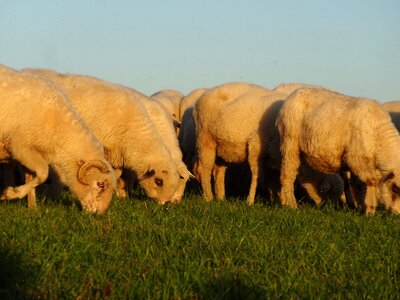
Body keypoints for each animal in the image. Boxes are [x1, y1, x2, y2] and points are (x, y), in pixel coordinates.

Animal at [0, 65, 115, 213]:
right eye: (100, 184)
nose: (99, 213)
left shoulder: (29, 152)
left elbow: (32, 178)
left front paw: (32, 207)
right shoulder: (20, 147)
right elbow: (43, 174)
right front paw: (9, 194)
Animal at [276, 86, 400, 216]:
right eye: (395, 188)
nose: (396, 213)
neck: (379, 138)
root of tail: (294, 93)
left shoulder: (358, 162)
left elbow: (357, 184)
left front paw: (360, 207)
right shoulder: (356, 159)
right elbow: (371, 181)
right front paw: (370, 210)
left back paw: (284, 202)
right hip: (290, 142)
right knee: (287, 174)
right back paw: (291, 204)